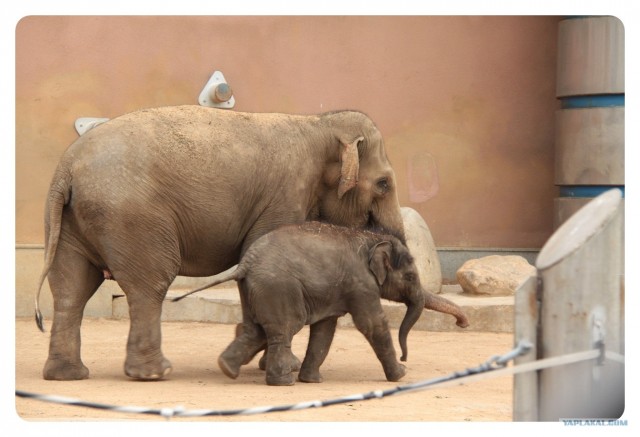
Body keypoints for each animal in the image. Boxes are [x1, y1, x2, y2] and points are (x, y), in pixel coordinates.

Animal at [33, 104, 404, 378]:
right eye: (384, 183)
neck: (319, 124)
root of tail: (67, 168)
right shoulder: (285, 197)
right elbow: (259, 253)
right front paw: (270, 363)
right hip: (131, 217)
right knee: (149, 285)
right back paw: (154, 373)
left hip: (68, 221)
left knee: (71, 289)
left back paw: (69, 375)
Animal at [172, 221, 468, 384]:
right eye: (410, 276)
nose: (463, 324)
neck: (372, 239)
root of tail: (245, 263)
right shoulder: (360, 284)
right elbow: (373, 324)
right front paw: (401, 376)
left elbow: (325, 329)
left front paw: (311, 381)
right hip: (279, 288)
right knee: (284, 329)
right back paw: (282, 382)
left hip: (252, 290)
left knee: (255, 329)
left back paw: (227, 368)